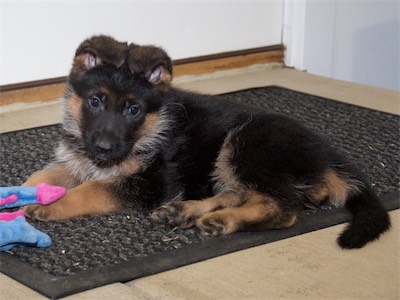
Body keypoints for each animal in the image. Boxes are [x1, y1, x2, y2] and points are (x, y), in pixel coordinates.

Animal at [23, 35, 390, 248]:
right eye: (95, 101)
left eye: (133, 109)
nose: (103, 149)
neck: (150, 129)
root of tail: (323, 154)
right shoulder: (73, 161)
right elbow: (41, 177)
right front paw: (22, 193)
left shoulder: (151, 182)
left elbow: (94, 188)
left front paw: (52, 205)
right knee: (240, 193)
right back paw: (185, 211)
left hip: (244, 144)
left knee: (282, 208)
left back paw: (222, 221)